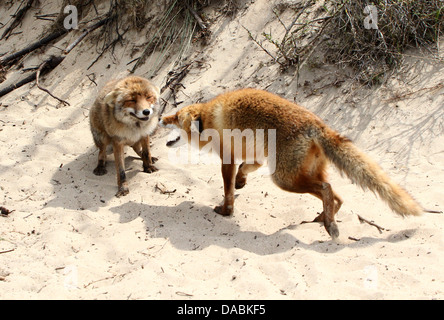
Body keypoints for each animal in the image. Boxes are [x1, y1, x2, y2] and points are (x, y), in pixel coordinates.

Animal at [160, 87, 424, 238]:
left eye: (176, 117)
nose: (160, 117)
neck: (208, 119)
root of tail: (316, 124)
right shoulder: (255, 157)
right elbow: (245, 170)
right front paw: (241, 182)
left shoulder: (228, 159)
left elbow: (227, 191)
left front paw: (226, 211)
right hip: (300, 174)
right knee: (336, 196)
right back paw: (324, 219)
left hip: (283, 179)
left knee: (327, 189)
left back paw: (330, 225)